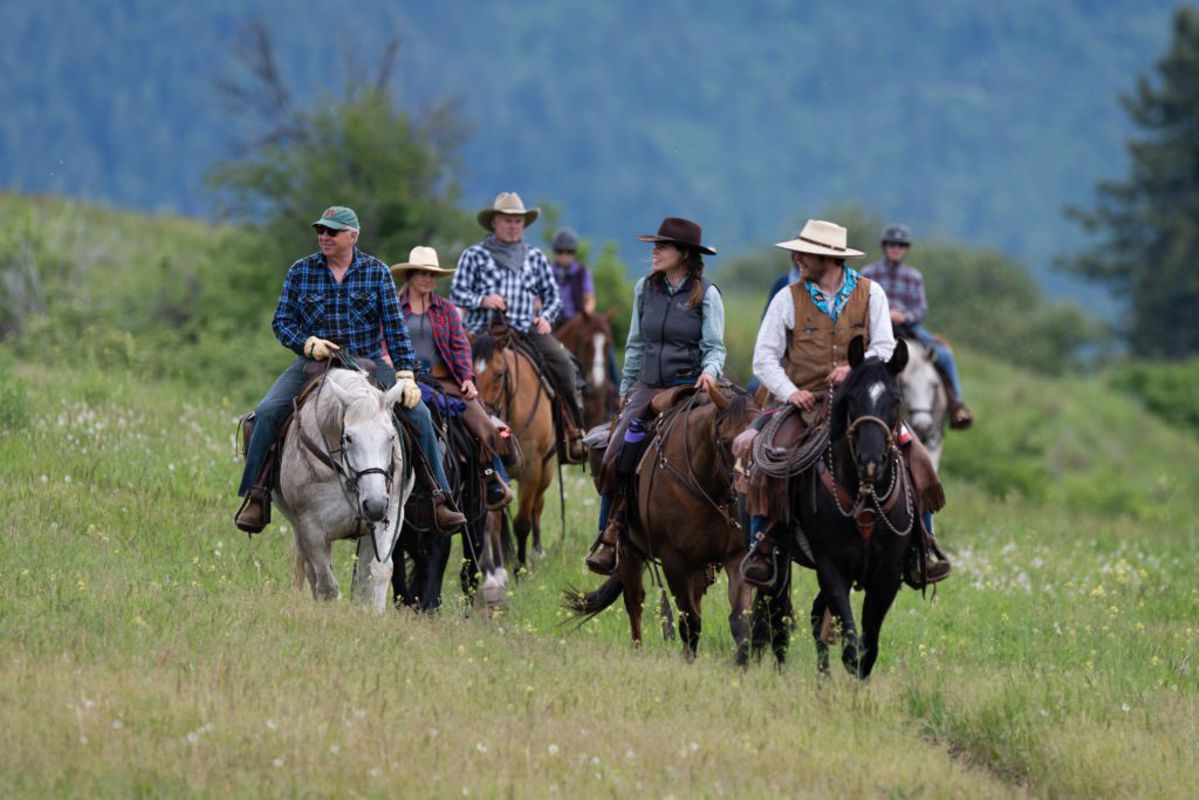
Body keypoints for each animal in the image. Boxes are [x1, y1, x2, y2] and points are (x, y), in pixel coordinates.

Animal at [274, 369, 414, 614]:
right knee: (312, 572)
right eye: (348, 437)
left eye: (391, 436)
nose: (375, 504)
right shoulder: (311, 528)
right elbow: (326, 585)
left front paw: (374, 616)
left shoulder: (390, 515)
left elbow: (379, 572)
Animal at [470, 326, 558, 568]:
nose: (484, 416)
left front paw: (522, 568)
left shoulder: (531, 470)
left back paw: (536, 551)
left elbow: (522, 522)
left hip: (546, 471)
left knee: (538, 506)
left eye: (500, 374)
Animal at [563, 386, 757, 662]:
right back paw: (638, 651)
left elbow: (740, 619)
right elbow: (689, 621)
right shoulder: (674, 560)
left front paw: (740, 663)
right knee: (634, 601)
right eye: (727, 441)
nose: (746, 492)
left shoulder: (736, 556)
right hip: (628, 552)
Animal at [748, 338, 916, 681]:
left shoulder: (888, 576)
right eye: (852, 399)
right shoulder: (832, 567)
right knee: (771, 612)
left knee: (808, 616)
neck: (865, 500)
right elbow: (852, 647)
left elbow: (868, 650)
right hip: (777, 557)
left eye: (895, 400)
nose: (871, 462)